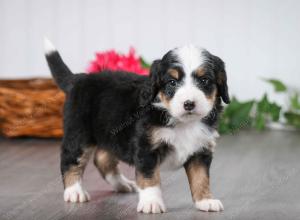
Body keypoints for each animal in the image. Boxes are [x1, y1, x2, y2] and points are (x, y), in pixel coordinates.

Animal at [44, 38, 230, 214]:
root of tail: (79, 79)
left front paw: (205, 200)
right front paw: (151, 203)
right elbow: (150, 178)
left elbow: (201, 177)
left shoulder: (201, 150)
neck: (182, 122)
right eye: (172, 82)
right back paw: (74, 191)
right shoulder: (146, 147)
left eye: (204, 80)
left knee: (102, 159)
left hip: (111, 135)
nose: (189, 104)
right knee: (70, 161)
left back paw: (122, 184)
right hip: (79, 134)